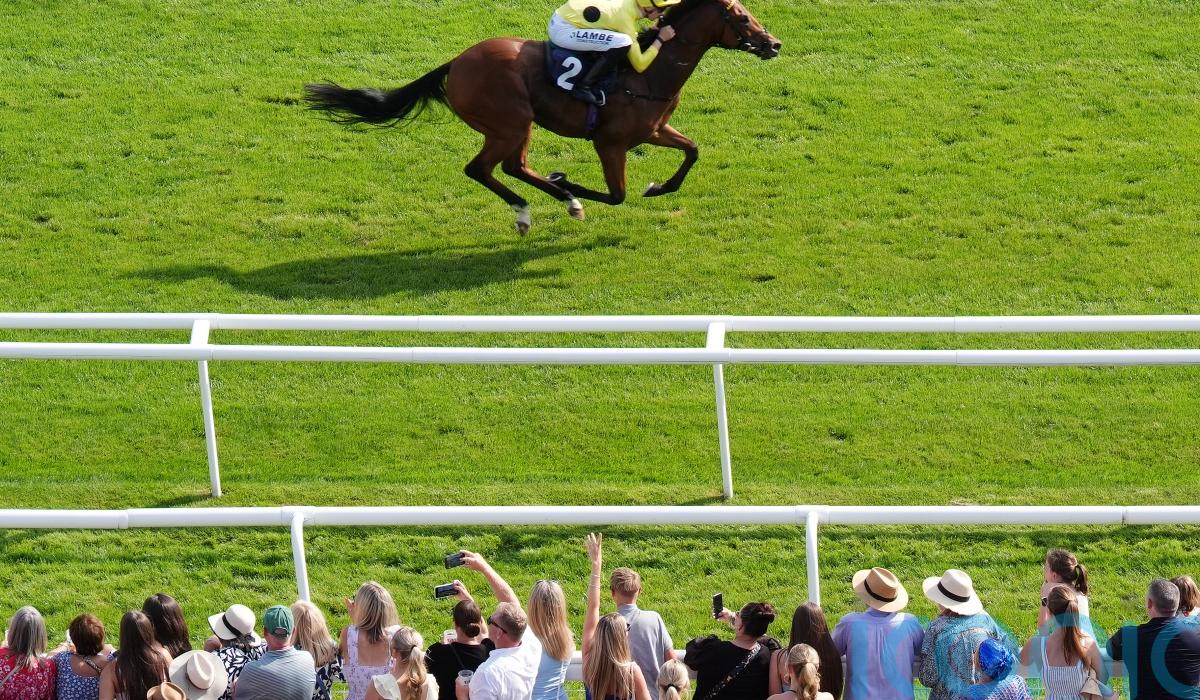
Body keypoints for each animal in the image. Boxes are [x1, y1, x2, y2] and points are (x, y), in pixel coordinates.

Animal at [305, 0, 780, 233]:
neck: (648, 73)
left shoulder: (654, 129)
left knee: (512, 166)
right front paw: (567, 180)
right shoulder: (610, 143)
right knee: (482, 169)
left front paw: (658, 186)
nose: (773, 44)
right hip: (509, 122)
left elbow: (692, 151)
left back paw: (558, 201)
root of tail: (457, 61)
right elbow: (616, 195)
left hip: (519, 124)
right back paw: (534, 207)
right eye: (742, 17)